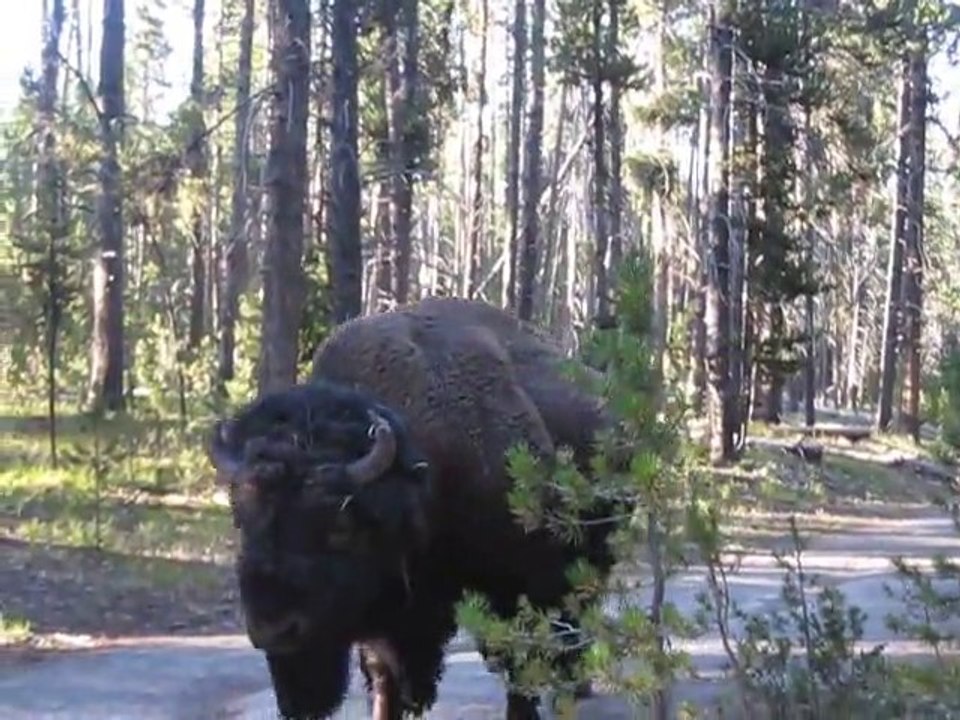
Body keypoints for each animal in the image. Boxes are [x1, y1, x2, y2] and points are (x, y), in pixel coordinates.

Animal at [208, 297, 626, 719]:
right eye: (242, 519)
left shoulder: (515, 587)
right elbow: (384, 676)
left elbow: (518, 663)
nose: (275, 629)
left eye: (340, 525)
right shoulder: (392, 621)